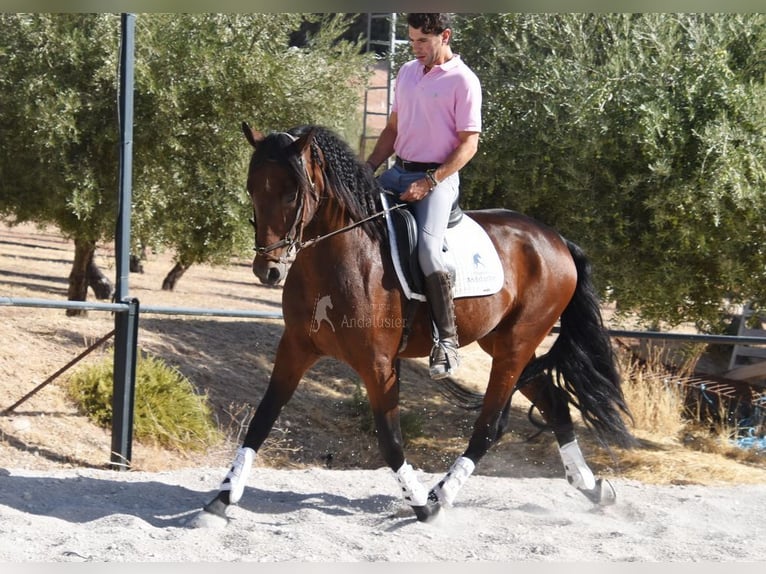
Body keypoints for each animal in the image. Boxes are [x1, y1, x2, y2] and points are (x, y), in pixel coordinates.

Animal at [200, 122, 636, 524]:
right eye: (252, 188)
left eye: (293, 191)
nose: (268, 270)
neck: (339, 260)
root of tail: (557, 240)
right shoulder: (295, 349)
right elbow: (261, 420)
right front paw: (221, 499)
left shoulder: (379, 366)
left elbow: (390, 438)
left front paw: (420, 504)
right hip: (505, 344)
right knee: (555, 403)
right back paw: (593, 487)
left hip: (516, 344)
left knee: (490, 425)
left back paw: (442, 494)